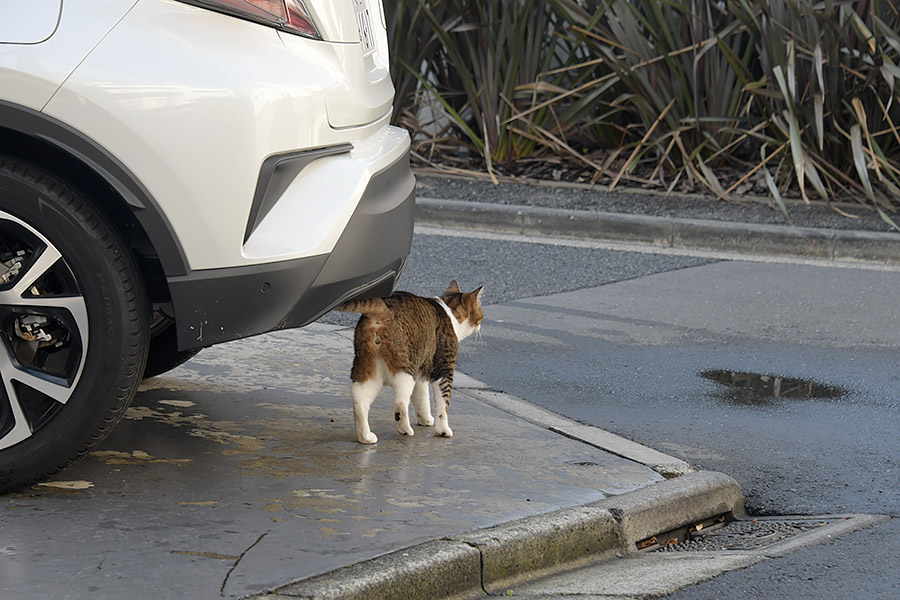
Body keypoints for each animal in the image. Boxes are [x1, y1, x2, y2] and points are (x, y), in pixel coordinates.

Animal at [334, 280, 482, 440]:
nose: (480, 324)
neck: (449, 312)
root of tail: (384, 309)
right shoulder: (443, 368)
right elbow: (443, 404)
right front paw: (443, 430)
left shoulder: (421, 371)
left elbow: (422, 398)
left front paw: (425, 419)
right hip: (405, 370)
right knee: (399, 403)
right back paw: (405, 429)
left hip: (368, 367)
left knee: (359, 400)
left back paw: (366, 437)